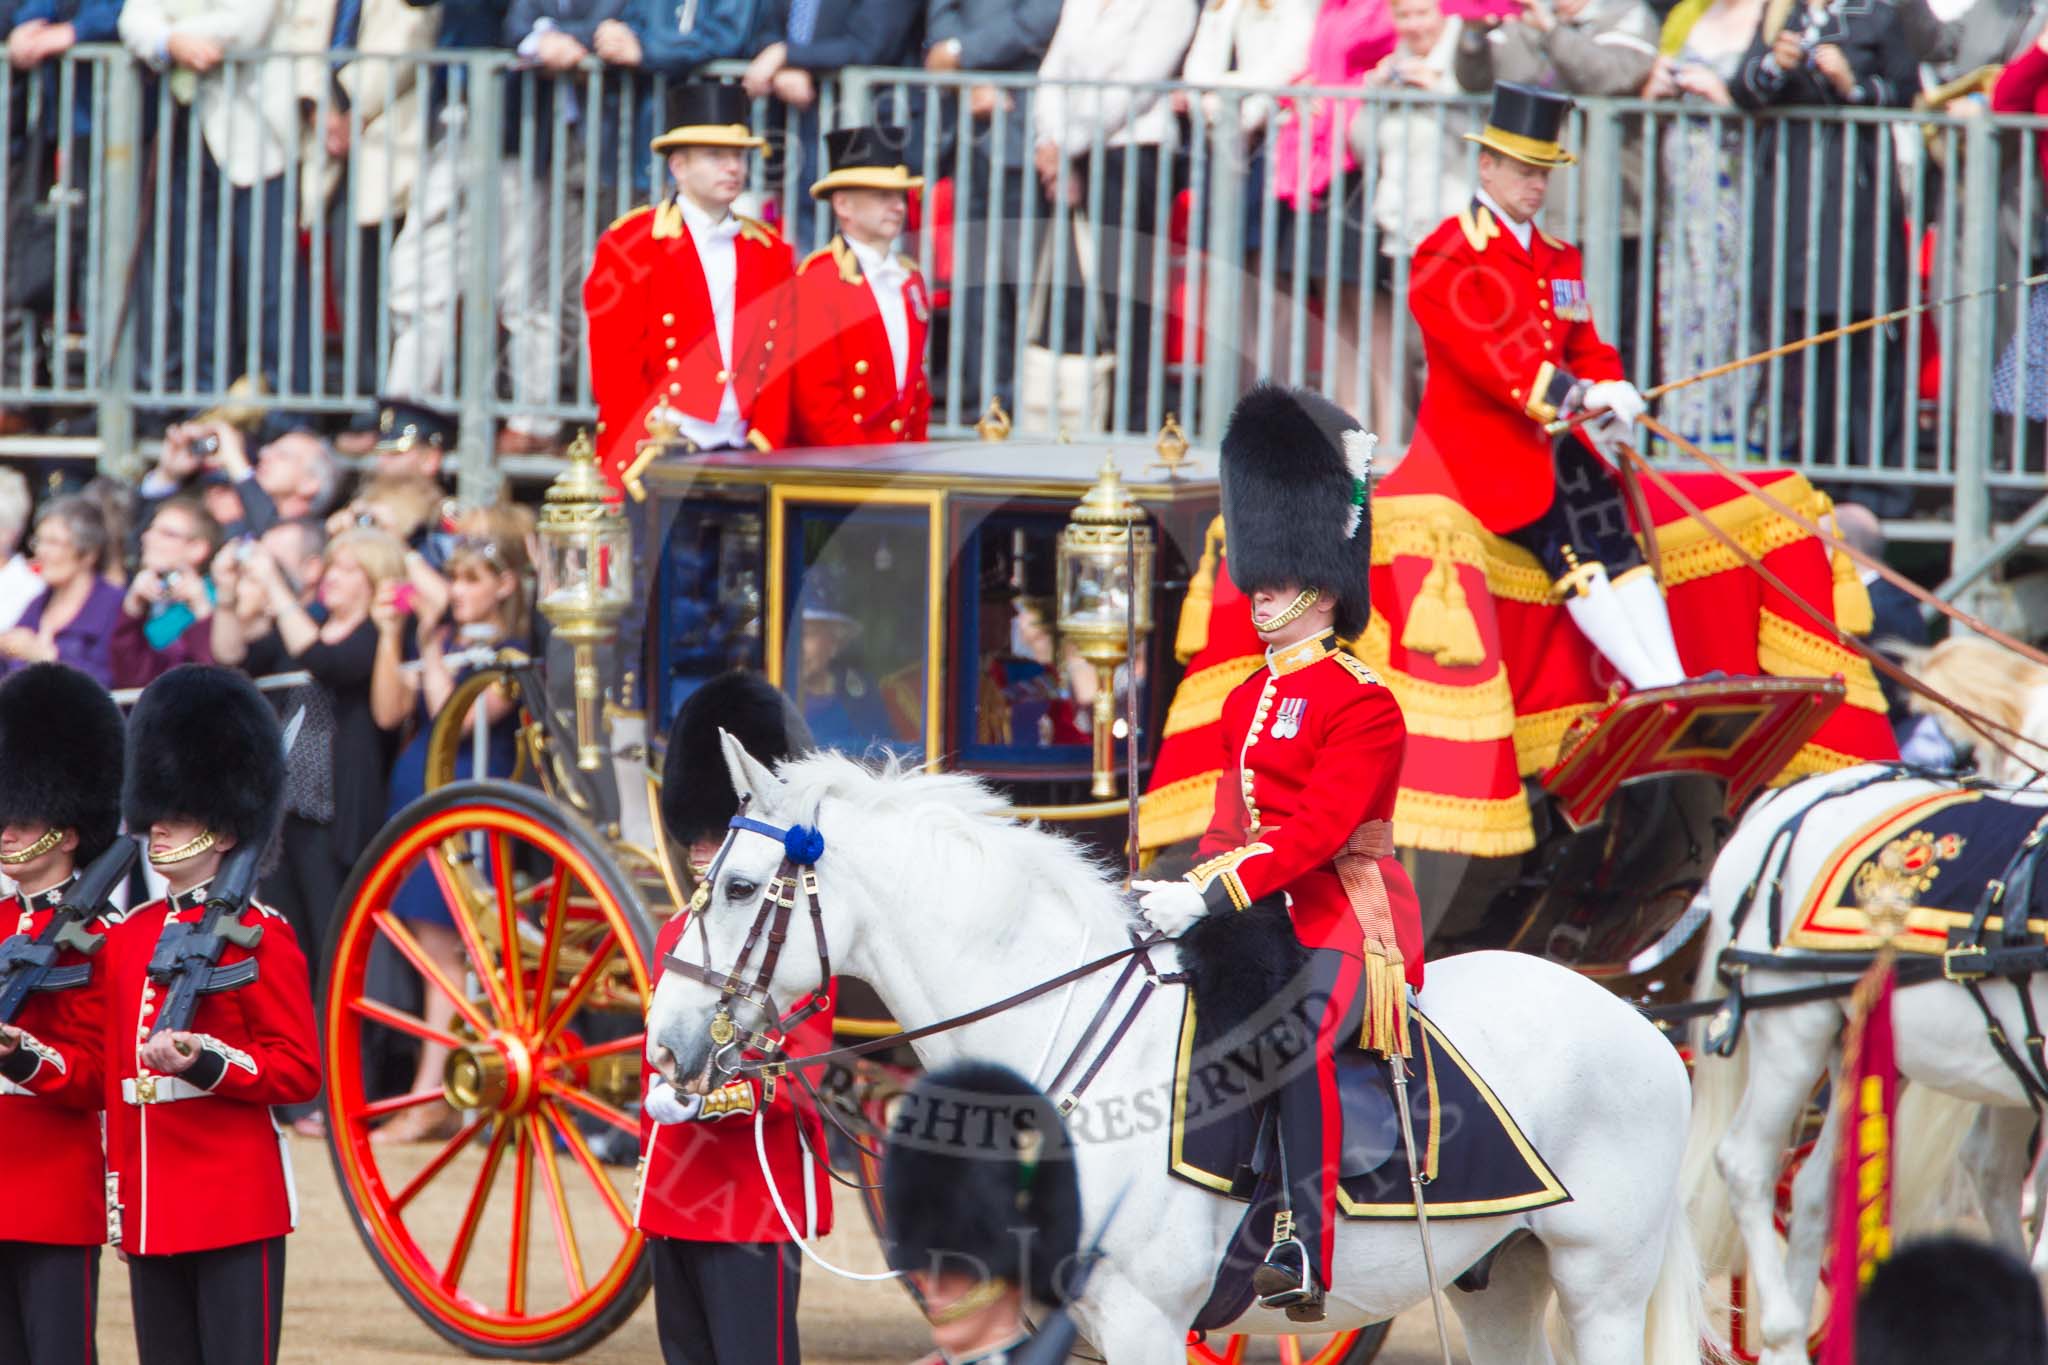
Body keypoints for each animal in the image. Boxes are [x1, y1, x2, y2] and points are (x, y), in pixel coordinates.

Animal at [651, 740, 1695, 1358]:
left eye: (737, 887)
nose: (664, 1047)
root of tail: (1640, 1023)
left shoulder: (1144, 1320)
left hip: (1602, 1285)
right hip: (1498, 1279)